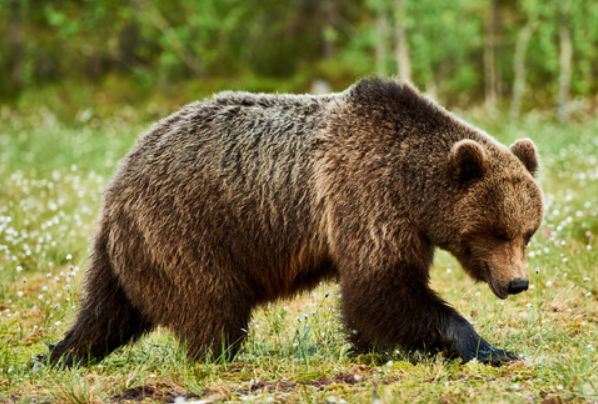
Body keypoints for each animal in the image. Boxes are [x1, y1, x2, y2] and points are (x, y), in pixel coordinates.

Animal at [45, 77, 544, 368]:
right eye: (497, 232)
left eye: (528, 232)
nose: (518, 283)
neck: (410, 185)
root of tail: (119, 180)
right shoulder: (364, 196)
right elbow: (381, 286)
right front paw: (492, 349)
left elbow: (372, 300)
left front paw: (373, 348)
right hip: (187, 228)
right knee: (213, 304)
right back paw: (221, 358)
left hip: (131, 248)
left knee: (108, 308)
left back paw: (61, 353)